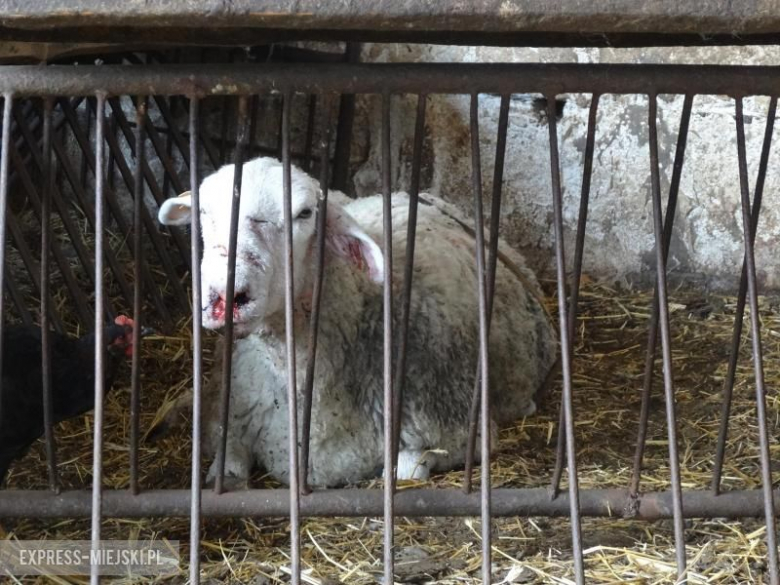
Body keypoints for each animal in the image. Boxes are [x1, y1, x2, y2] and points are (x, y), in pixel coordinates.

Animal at [158, 156, 556, 488]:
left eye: (305, 213)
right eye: (203, 210)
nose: (226, 296)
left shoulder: (452, 433)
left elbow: (406, 470)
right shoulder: (233, 418)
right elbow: (225, 468)